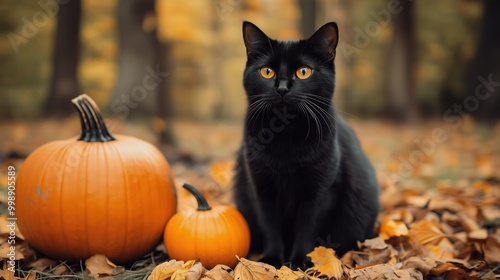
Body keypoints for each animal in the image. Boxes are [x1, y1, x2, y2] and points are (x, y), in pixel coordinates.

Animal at [232, 20, 380, 268]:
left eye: (303, 72)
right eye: (267, 71)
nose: (282, 88)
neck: (286, 137)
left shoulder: (320, 191)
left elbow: (308, 228)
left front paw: (301, 261)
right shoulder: (261, 188)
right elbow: (270, 226)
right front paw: (272, 260)